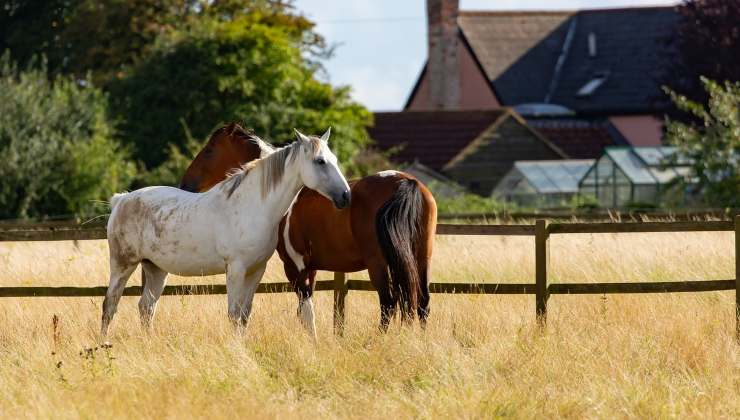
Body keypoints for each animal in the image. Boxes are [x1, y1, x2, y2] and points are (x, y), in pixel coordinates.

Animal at [101, 128, 350, 337]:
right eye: (320, 161)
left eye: (334, 160)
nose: (345, 196)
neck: (252, 206)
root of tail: (121, 200)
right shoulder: (236, 270)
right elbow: (233, 314)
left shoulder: (256, 270)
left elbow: (245, 315)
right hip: (122, 265)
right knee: (110, 304)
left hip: (155, 269)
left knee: (146, 307)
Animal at [180, 124, 437, 335]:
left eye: (209, 151)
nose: (186, 184)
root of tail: (406, 182)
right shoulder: (310, 268)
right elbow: (304, 312)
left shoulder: (295, 267)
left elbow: (306, 311)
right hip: (421, 257)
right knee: (422, 302)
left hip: (379, 263)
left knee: (388, 303)